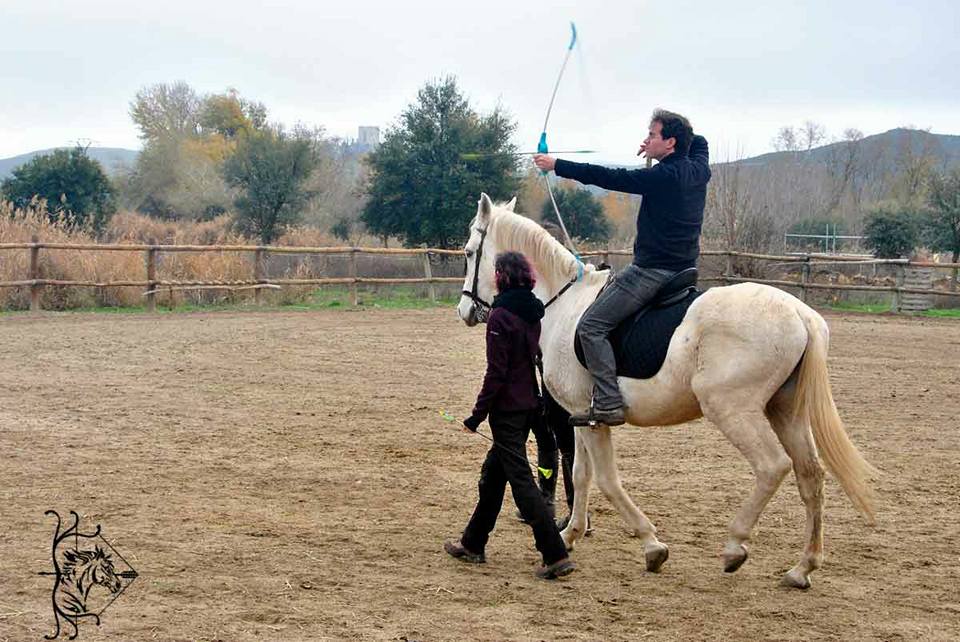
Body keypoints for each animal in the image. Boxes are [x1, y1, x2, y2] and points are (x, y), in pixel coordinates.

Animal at [456, 193, 875, 589]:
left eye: (469, 252)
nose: (465, 311)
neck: (563, 304)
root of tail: (801, 314)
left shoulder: (592, 420)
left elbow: (607, 480)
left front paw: (652, 545)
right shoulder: (581, 416)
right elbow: (581, 474)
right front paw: (571, 535)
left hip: (732, 410)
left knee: (773, 467)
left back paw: (734, 546)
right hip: (785, 411)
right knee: (810, 475)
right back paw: (802, 567)